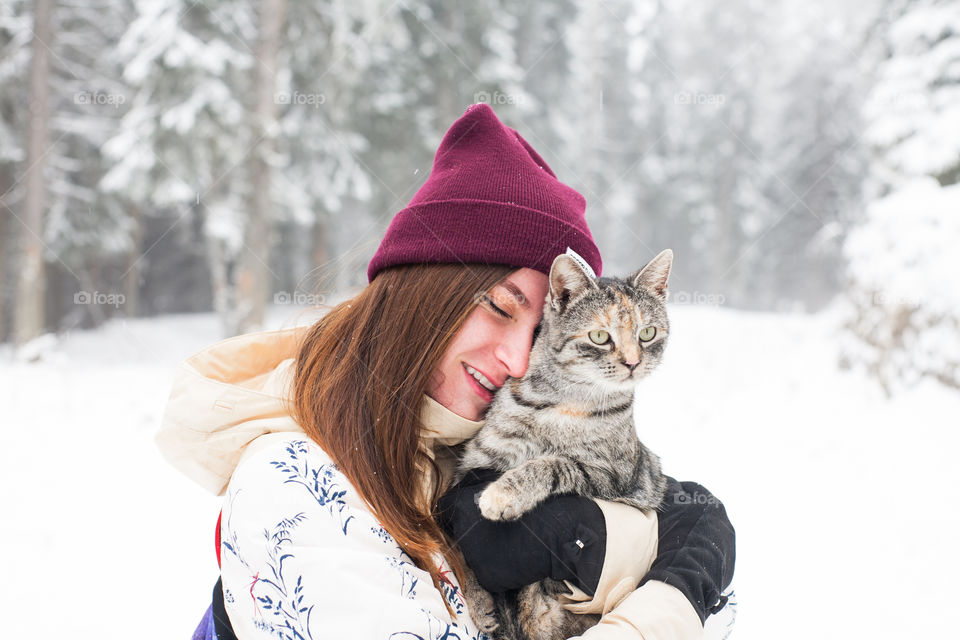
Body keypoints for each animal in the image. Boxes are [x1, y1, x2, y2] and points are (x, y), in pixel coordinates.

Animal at [454, 249, 672, 640]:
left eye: (647, 333)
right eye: (600, 336)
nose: (633, 362)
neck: (565, 399)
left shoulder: (616, 476)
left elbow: (553, 463)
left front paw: (504, 494)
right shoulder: (474, 465)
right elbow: (453, 541)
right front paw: (478, 601)